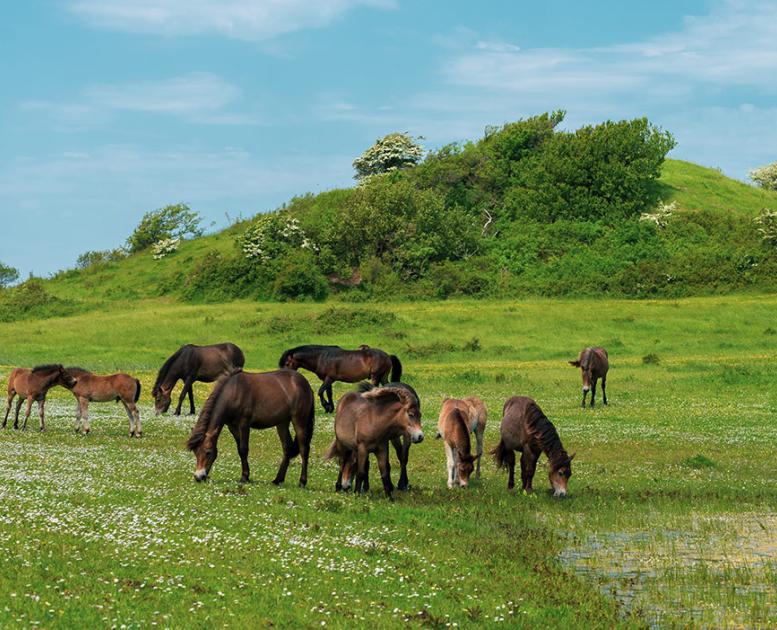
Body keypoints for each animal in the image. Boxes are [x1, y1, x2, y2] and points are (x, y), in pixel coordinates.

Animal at [186, 368, 314, 486]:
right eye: (195, 452)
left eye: (208, 452)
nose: (198, 477)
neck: (233, 392)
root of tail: (304, 383)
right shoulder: (232, 427)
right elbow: (239, 449)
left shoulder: (244, 424)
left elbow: (243, 449)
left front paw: (244, 477)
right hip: (282, 423)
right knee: (287, 447)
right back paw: (278, 480)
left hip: (299, 421)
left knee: (304, 449)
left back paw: (302, 482)